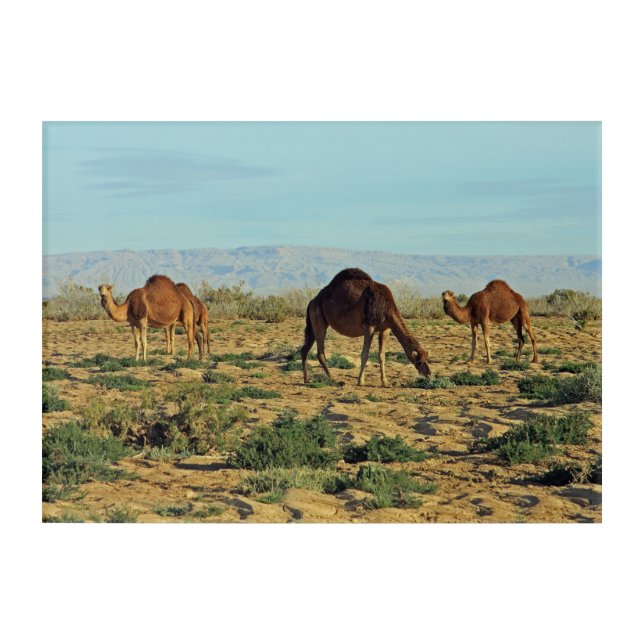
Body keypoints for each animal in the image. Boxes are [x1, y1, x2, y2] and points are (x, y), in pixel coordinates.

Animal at [301, 268, 431, 387]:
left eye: (428, 359)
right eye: (419, 361)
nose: (429, 374)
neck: (387, 308)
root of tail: (312, 301)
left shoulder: (386, 329)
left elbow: (381, 356)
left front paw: (385, 382)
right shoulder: (369, 325)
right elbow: (365, 354)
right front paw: (361, 381)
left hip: (314, 321)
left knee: (305, 349)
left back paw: (307, 379)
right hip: (318, 316)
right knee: (320, 352)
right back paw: (334, 379)